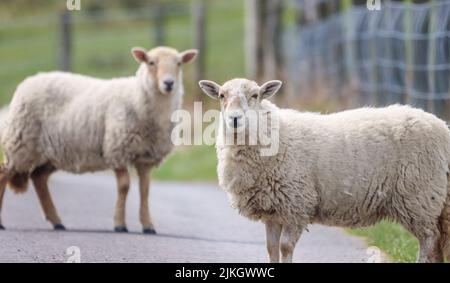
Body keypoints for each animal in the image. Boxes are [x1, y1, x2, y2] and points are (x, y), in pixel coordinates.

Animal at [0, 45, 197, 234]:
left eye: (179, 63)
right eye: (151, 62)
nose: (169, 83)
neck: (136, 96)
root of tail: (29, 80)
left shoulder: (145, 157)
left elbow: (145, 190)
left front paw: (148, 226)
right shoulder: (116, 148)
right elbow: (124, 186)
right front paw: (120, 224)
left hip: (53, 151)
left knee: (38, 177)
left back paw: (57, 221)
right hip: (21, 142)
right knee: (4, 174)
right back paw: (3, 223)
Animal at [199, 78, 450, 264]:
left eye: (255, 96)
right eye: (221, 95)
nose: (234, 119)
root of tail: (442, 127)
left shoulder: (296, 204)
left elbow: (285, 247)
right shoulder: (273, 209)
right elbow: (271, 249)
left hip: (419, 196)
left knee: (429, 240)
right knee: (437, 243)